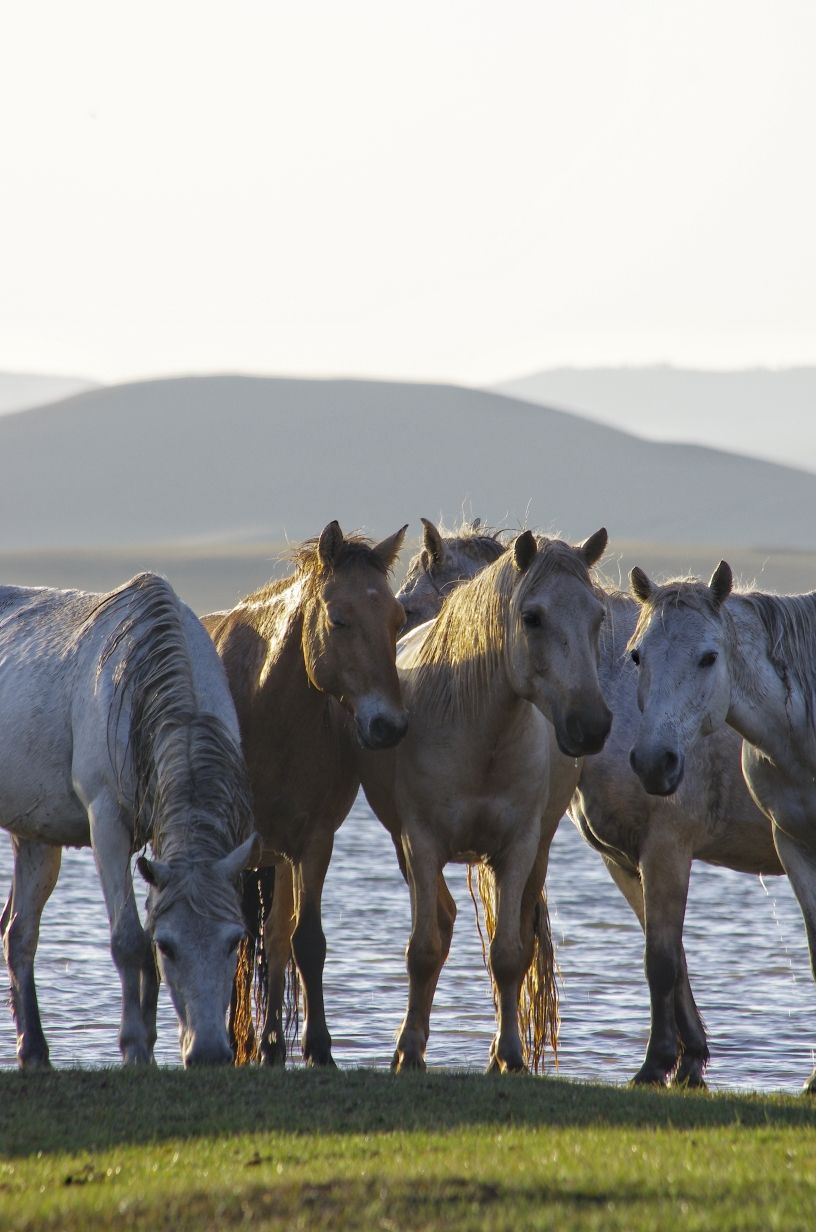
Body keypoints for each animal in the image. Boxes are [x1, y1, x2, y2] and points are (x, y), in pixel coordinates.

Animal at [0, 571, 258, 1064]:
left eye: (235, 940)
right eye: (168, 946)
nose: (209, 1053)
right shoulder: (107, 825)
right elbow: (129, 941)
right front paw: (134, 1047)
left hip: (35, 838)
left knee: (19, 934)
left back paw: (34, 1050)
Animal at [204, 514, 409, 1064]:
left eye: (397, 619)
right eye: (339, 618)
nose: (388, 726)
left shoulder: (313, 845)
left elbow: (306, 942)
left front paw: (319, 1050)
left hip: (276, 858)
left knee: (276, 940)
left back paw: (273, 1045)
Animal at [362, 534, 611, 1074]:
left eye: (598, 616)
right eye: (532, 617)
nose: (591, 724)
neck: (479, 735)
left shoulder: (517, 849)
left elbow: (509, 956)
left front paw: (509, 1054)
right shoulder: (420, 843)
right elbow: (423, 949)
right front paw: (408, 1050)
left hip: (538, 853)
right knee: (440, 923)